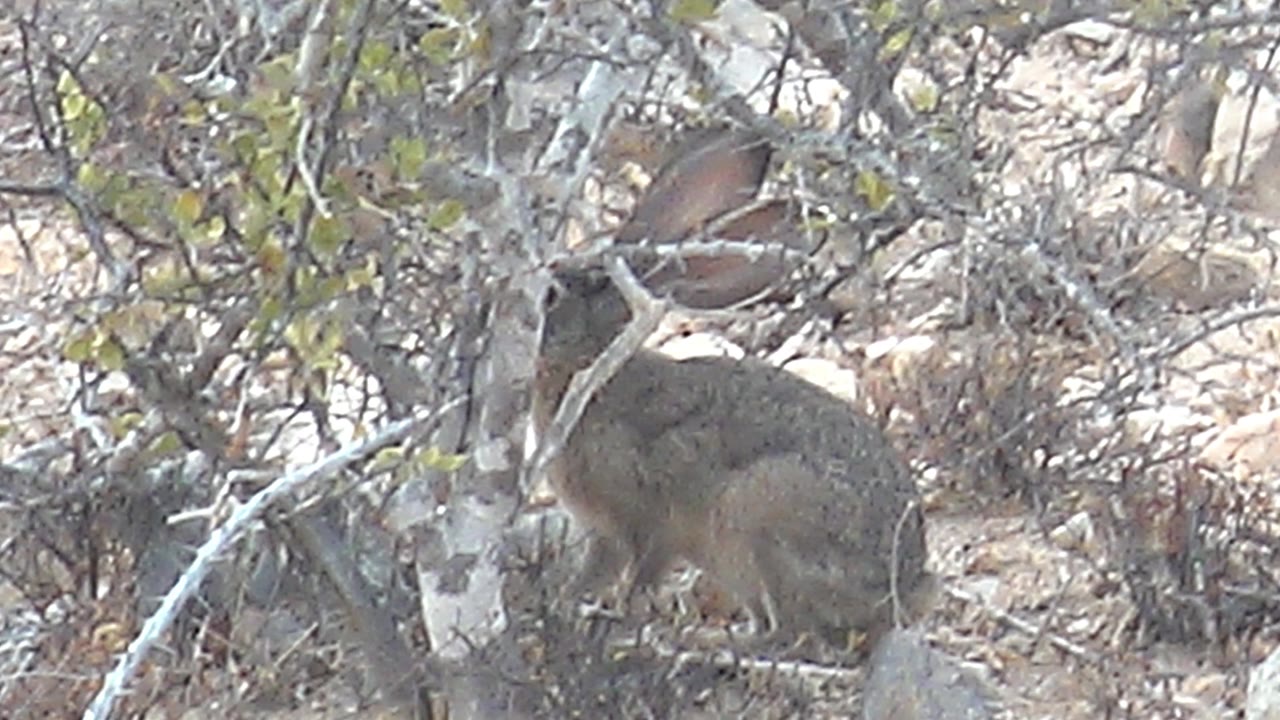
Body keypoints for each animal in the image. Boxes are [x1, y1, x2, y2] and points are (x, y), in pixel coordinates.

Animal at [534, 127, 932, 648]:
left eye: (552, 296)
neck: (589, 362)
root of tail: (904, 590)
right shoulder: (606, 532)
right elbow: (598, 574)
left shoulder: (643, 520)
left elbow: (638, 574)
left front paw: (610, 622)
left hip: (762, 512)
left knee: (794, 633)